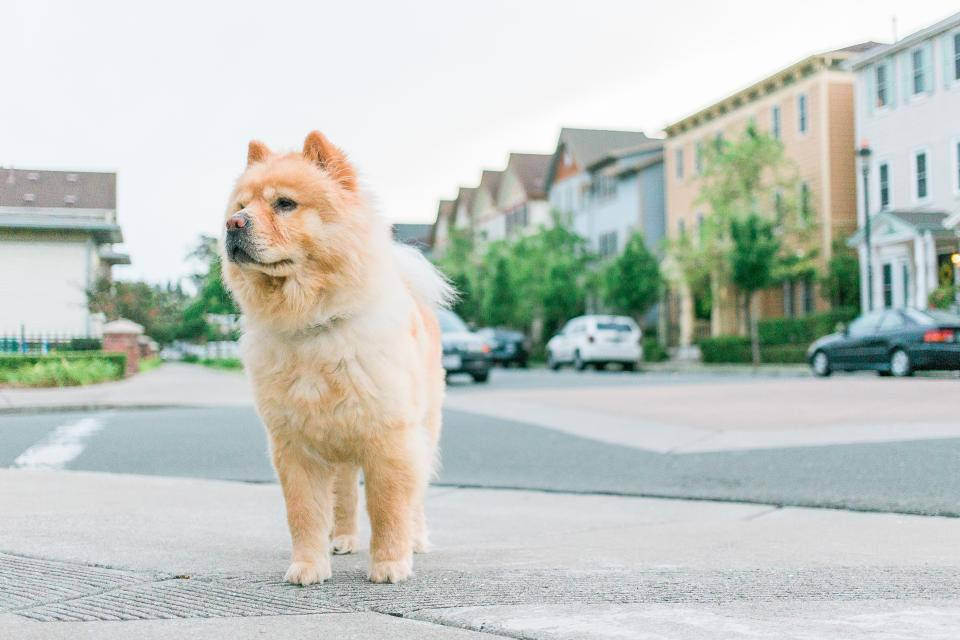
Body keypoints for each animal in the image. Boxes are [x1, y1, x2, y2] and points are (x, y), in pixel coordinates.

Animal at [221, 131, 450, 584]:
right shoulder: (295, 448)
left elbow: (388, 508)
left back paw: (416, 540)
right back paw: (341, 541)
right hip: (339, 449)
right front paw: (308, 567)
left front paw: (390, 565)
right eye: (241, 206)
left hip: (422, 431)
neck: (314, 324)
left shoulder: (388, 438)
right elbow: (305, 514)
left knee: (413, 498)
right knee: (343, 497)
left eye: (284, 204)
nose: (233, 225)